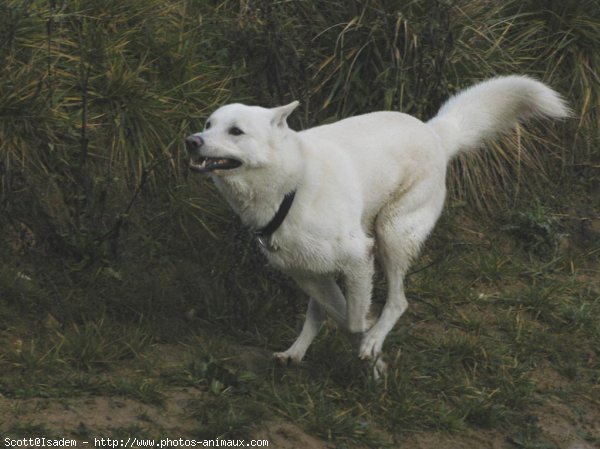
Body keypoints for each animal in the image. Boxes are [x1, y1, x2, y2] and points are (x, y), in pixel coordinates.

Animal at [185, 76, 568, 374]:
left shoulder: (360, 257)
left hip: (391, 236)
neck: (291, 187)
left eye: (236, 131)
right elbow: (336, 313)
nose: (191, 142)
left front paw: (371, 348)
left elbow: (354, 318)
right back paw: (296, 353)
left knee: (399, 301)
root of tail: (435, 132)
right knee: (322, 311)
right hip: (334, 261)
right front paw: (366, 351)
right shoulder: (306, 273)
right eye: (208, 125)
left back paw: (372, 339)